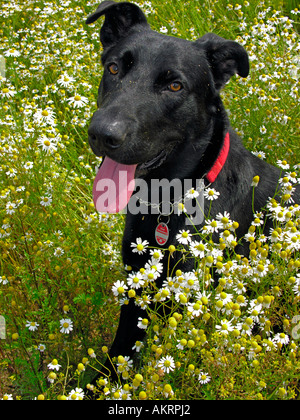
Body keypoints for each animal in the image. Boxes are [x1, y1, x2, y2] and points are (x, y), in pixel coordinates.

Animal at [85, 0, 300, 382]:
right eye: (113, 68)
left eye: (174, 86)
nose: (102, 133)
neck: (167, 201)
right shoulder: (136, 286)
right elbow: (120, 353)